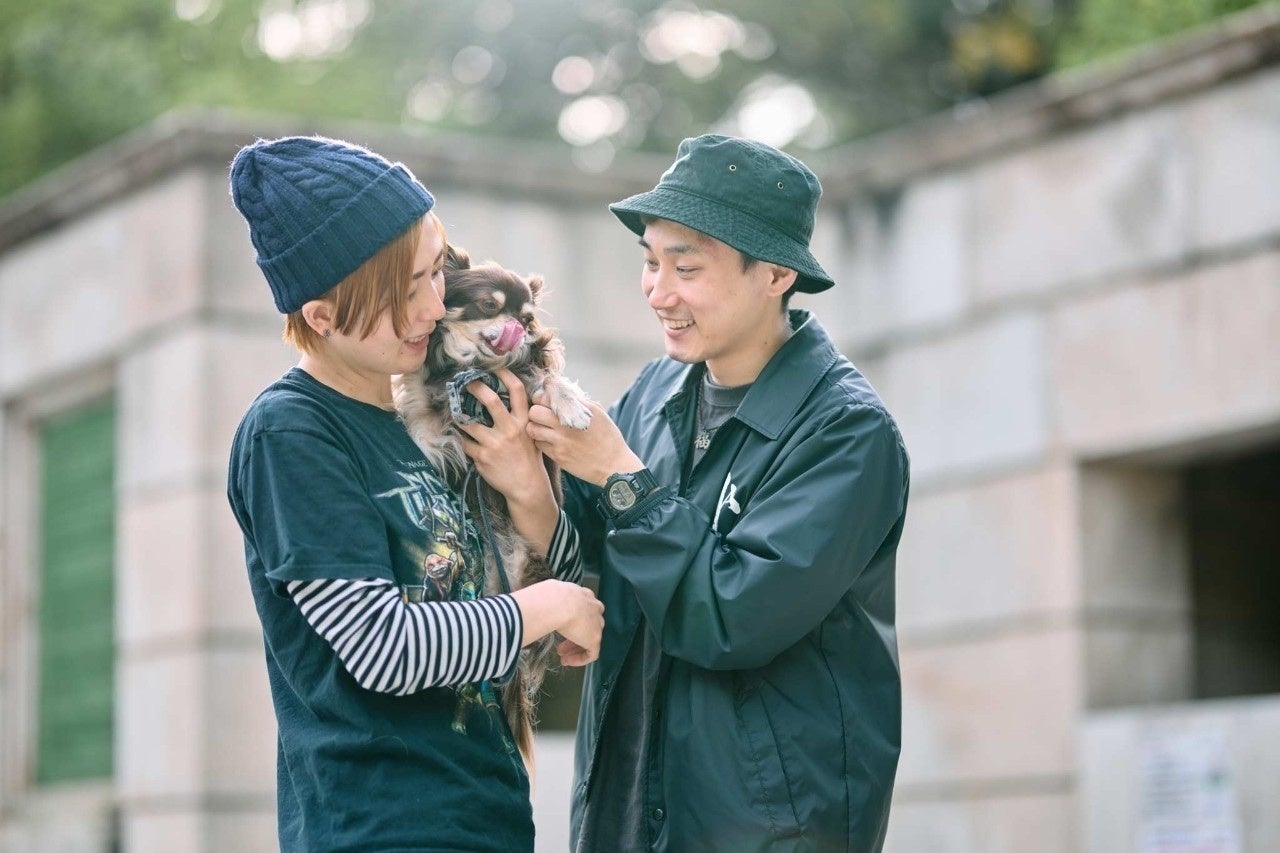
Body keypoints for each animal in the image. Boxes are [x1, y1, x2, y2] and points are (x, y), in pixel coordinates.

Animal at [393, 245, 591, 766]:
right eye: (488, 306)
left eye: (527, 317)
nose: (518, 329)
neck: (470, 372)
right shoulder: (432, 405)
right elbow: (418, 414)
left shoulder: (523, 380)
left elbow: (547, 379)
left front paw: (573, 408)